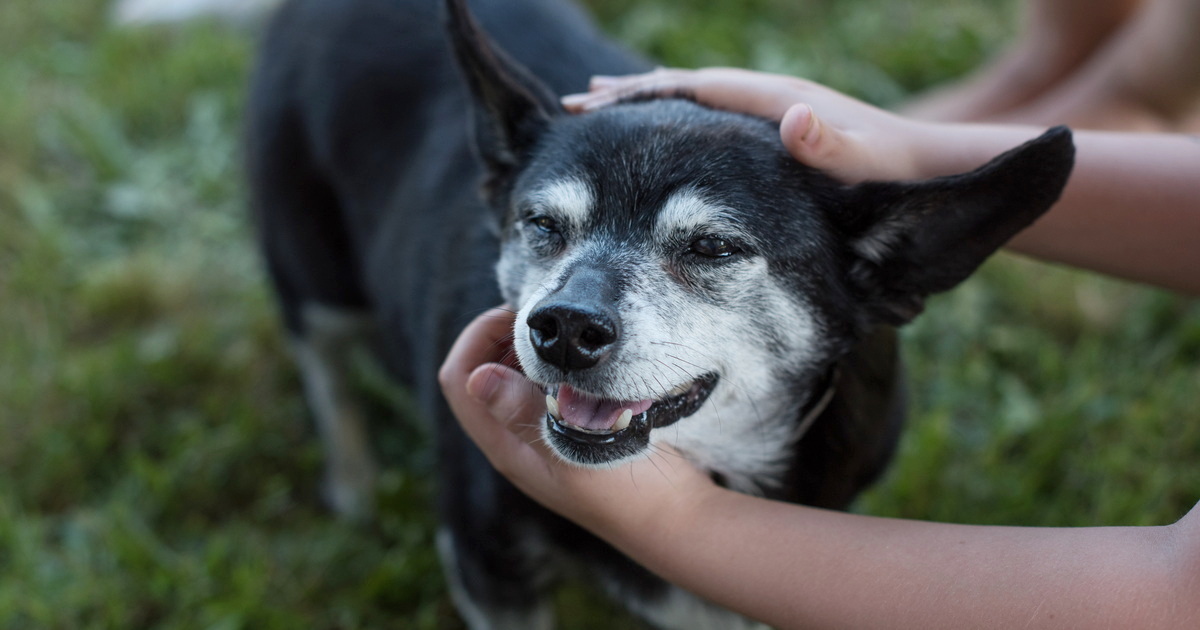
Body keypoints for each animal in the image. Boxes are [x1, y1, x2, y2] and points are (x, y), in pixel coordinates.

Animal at [246, 0, 1080, 624]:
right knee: (323, 365)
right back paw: (354, 480)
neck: (711, 465)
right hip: (312, 271)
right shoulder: (490, 568)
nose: (565, 328)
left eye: (712, 246)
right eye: (541, 224)